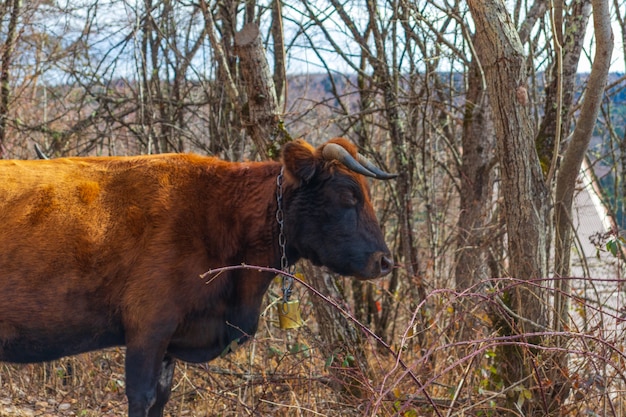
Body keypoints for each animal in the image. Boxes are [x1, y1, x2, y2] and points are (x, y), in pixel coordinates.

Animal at [0, 137, 392, 416]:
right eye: (348, 194)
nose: (385, 261)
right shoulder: (148, 329)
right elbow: (142, 397)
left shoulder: (170, 341)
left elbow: (160, 398)